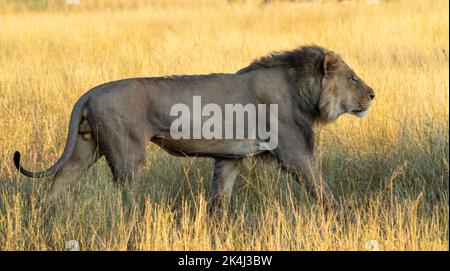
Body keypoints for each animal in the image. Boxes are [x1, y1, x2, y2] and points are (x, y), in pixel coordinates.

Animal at [13, 45, 372, 211]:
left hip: (85, 148)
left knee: (58, 184)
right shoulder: (294, 152)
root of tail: (88, 93)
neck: (300, 87)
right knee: (125, 194)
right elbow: (322, 190)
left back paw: (42, 217)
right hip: (127, 153)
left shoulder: (230, 158)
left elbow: (219, 199)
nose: (373, 94)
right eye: (353, 77)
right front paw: (344, 219)